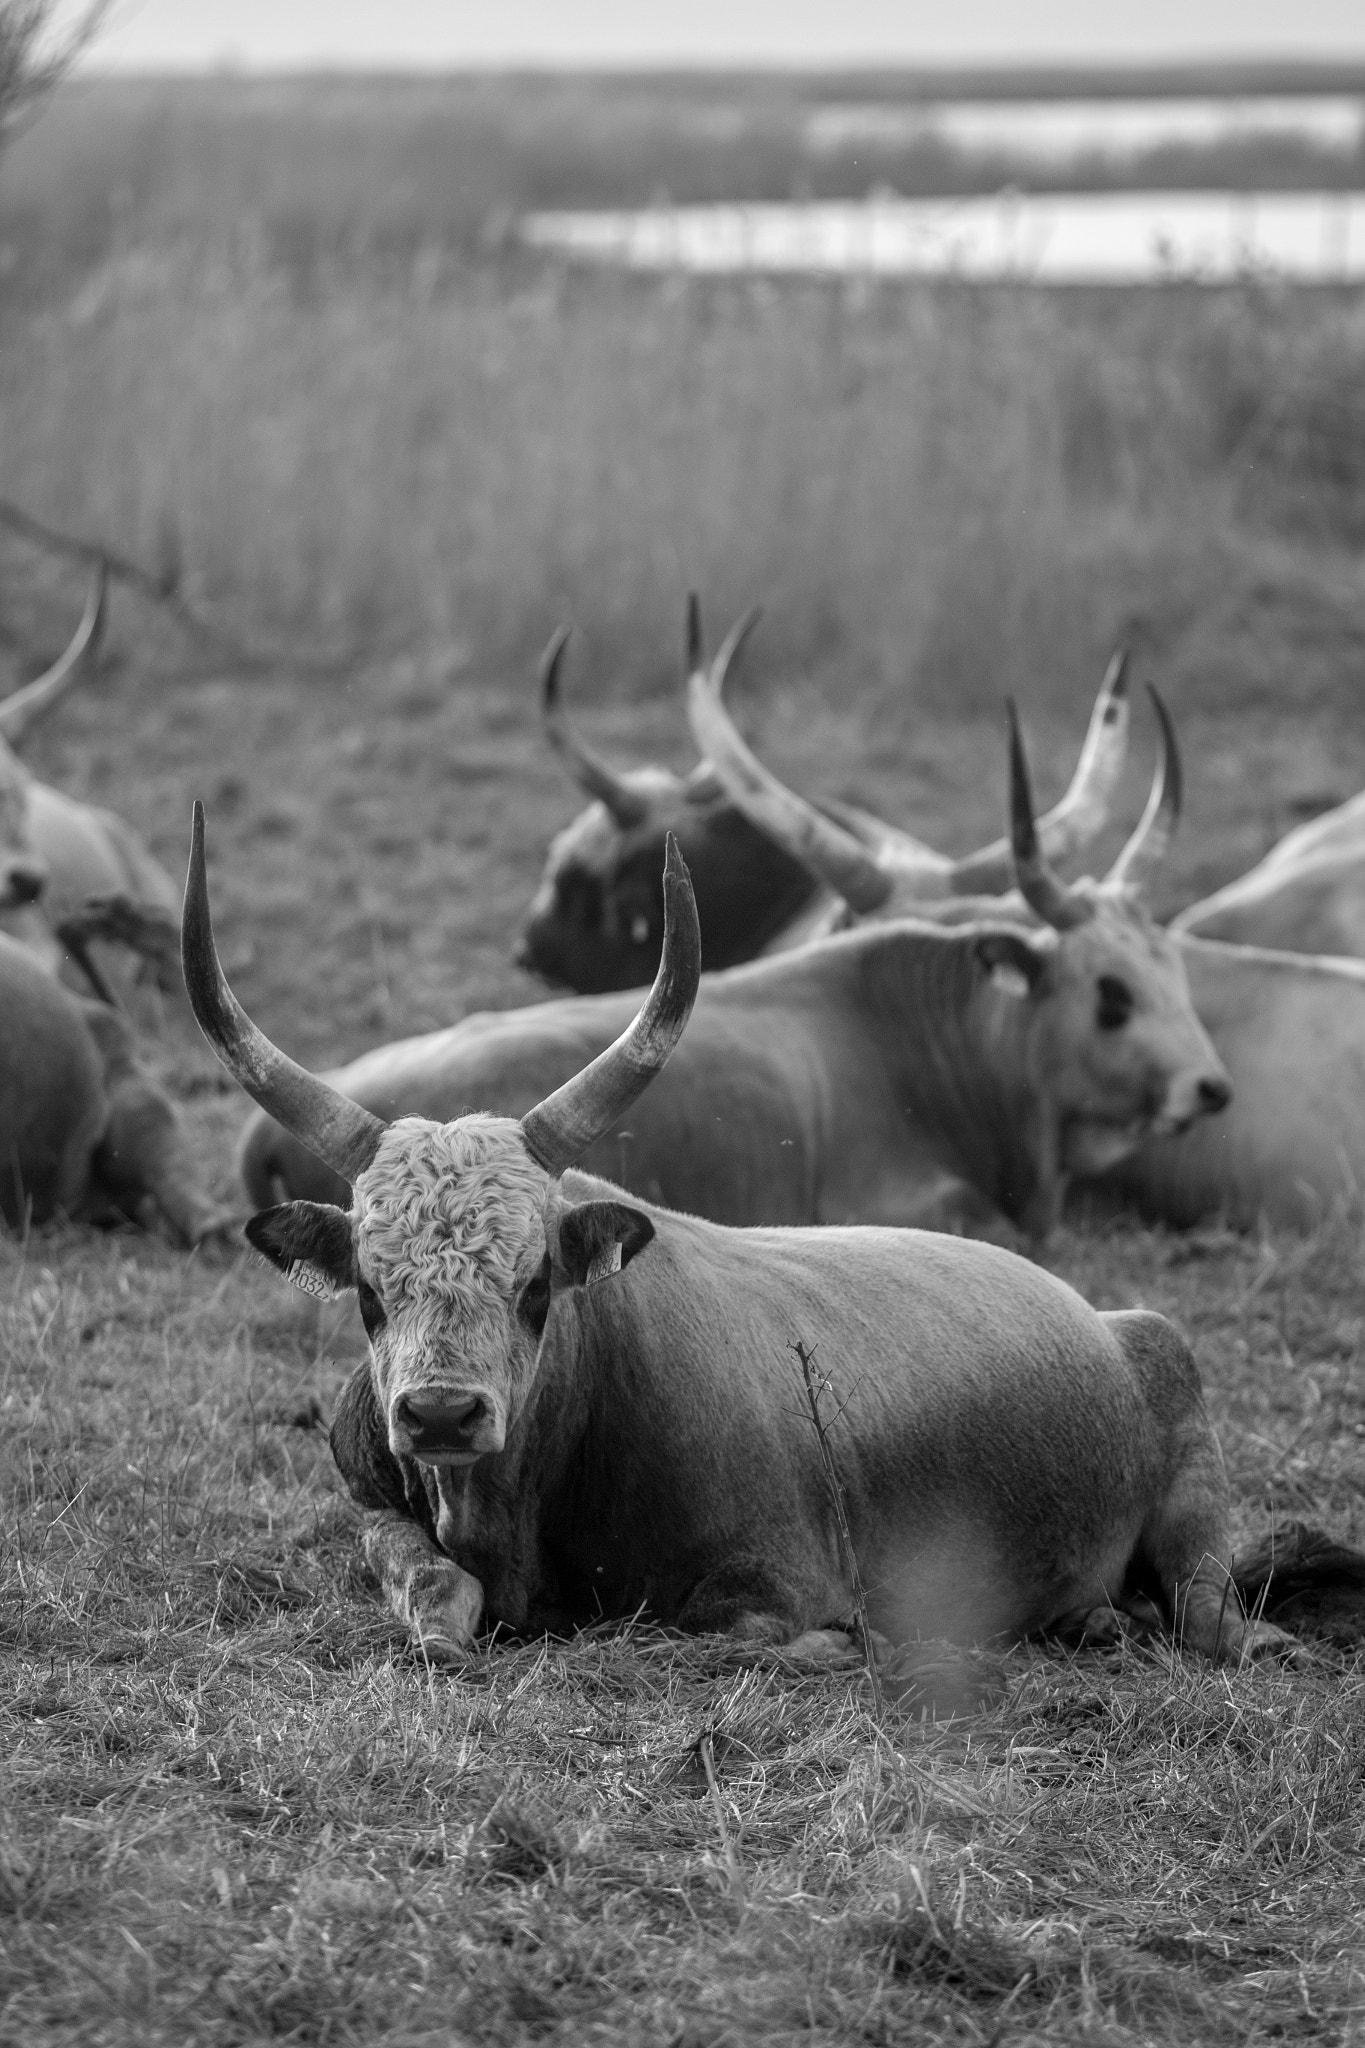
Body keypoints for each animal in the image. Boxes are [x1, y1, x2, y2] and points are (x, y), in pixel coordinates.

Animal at [184, 806, 1301, 1671]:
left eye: (537, 1284)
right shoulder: (373, 1506)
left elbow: (726, 1632)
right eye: (370, 1294)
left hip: (1189, 1480)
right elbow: (432, 1599)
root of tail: (1109, 1320)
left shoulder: (778, 1577)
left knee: (1208, 1610)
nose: (442, 1413)